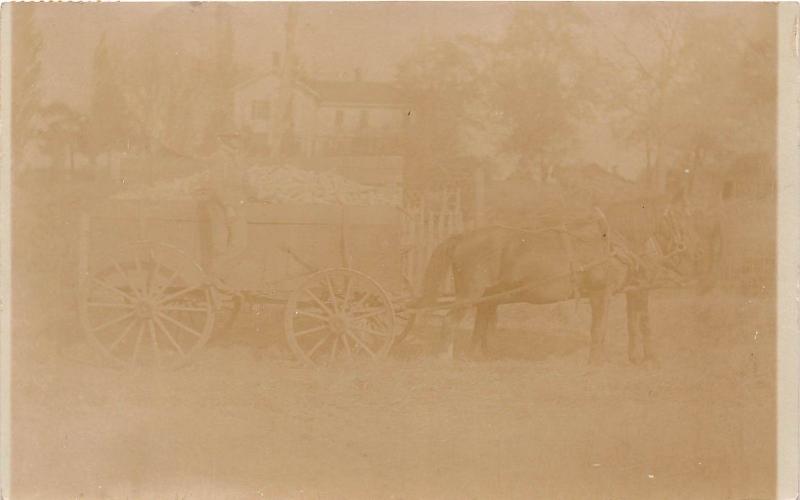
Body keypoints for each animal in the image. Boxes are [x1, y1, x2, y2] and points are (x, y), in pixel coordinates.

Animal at [410, 197, 720, 366]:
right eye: (681, 219)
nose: (699, 252)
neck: (609, 242)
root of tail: (462, 236)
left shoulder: (627, 291)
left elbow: (633, 324)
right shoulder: (600, 294)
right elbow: (599, 329)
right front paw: (596, 363)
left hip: (489, 294)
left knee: (482, 321)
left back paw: (478, 356)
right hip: (470, 294)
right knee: (449, 321)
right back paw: (445, 358)